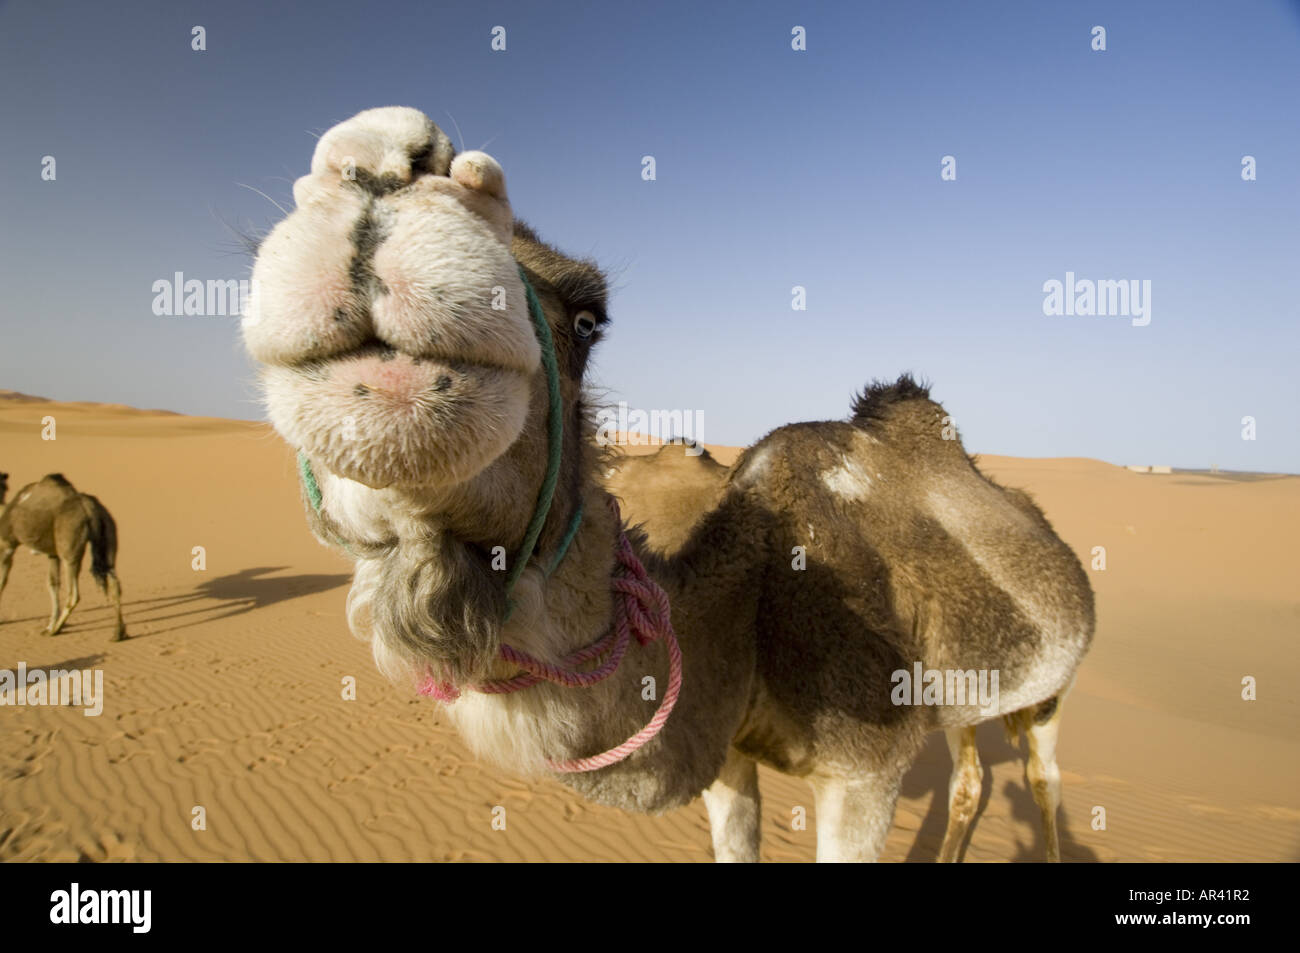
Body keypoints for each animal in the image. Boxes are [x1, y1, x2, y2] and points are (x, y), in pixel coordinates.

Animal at [0, 473, 126, 639]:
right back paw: (118, 633)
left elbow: (2, 581)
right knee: (114, 583)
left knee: (74, 594)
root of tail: (90, 509)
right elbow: (52, 584)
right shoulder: (53, 555)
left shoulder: (7, 545)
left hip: (69, 548)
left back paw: (56, 630)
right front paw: (48, 625)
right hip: (108, 535)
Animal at [239, 105, 1092, 863]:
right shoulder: (727, 754)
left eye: (590, 318)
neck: (749, 605)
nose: (388, 157)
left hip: (1051, 688)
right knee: (971, 778)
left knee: (1043, 779)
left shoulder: (866, 773)